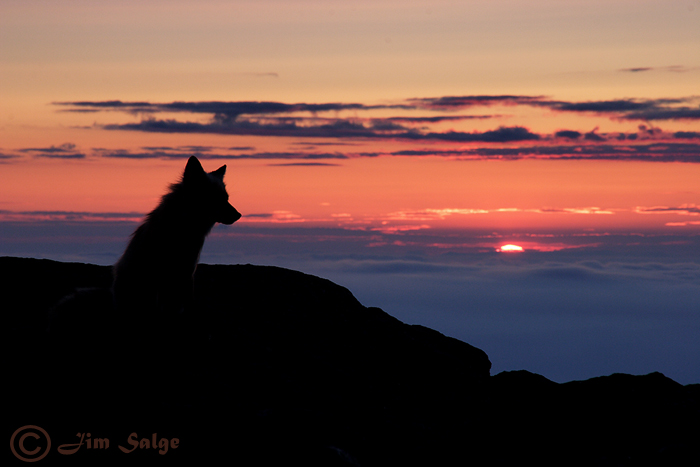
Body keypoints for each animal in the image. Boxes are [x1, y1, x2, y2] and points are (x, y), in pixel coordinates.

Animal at [112, 156, 241, 319]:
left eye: (226, 198)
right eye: (215, 198)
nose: (239, 215)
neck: (182, 227)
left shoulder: (187, 271)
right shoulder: (160, 275)